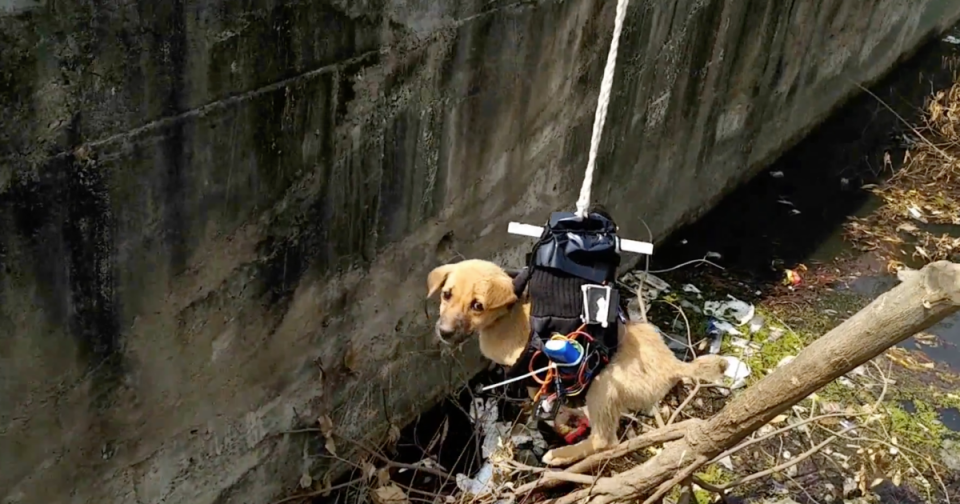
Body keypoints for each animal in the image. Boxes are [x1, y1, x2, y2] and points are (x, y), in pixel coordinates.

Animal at [428, 260, 728, 464]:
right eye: (446, 294)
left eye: (477, 306)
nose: (443, 332)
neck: (509, 314)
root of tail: (675, 367)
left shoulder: (536, 369)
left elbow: (537, 394)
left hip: (603, 386)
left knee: (604, 440)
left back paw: (562, 454)